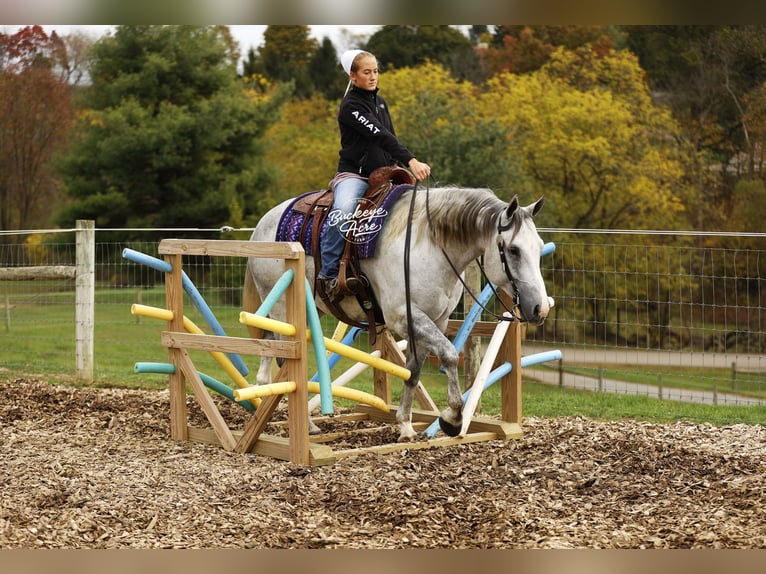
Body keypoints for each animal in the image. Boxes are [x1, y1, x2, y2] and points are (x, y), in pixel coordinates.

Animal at [243, 185, 550, 441]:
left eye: (538, 247)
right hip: (283, 308)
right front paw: (452, 418)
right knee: (285, 360)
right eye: (514, 250)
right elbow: (450, 354)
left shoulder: (434, 320)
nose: (541, 308)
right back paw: (302, 423)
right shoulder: (404, 318)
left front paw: (404, 425)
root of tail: (262, 226)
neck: (429, 246)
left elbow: (413, 370)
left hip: (310, 311)